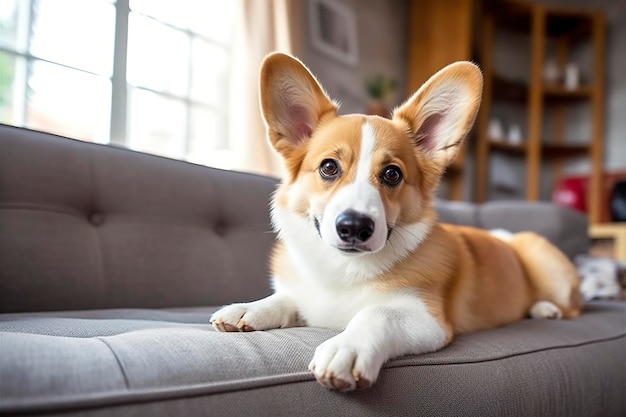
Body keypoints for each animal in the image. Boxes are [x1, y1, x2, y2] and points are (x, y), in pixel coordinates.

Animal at [211, 52, 580, 390]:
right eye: (329, 167)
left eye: (392, 174)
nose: (354, 228)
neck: (343, 270)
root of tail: (507, 238)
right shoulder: (308, 297)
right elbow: (286, 298)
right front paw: (247, 310)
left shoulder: (428, 319)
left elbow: (377, 313)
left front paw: (346, 348)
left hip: (544, 259)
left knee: (571, 306)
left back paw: (545, 308)